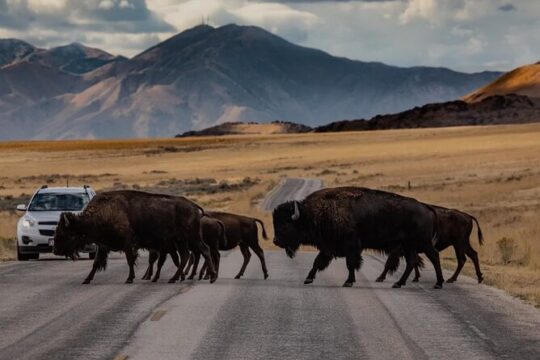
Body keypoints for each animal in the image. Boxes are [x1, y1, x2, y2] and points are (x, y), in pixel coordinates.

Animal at [52, 190, 217, 286]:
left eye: (64, 232)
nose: (55, 250)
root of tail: (194, 206)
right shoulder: (103, 246)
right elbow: (96, 263)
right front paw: (86, 279)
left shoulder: (127, 244)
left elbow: (130, 260)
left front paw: (129, 278)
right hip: (180, 241)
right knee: (185, 256)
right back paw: (174, 278)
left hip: (191, 237)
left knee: (204, 250)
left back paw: (212, 277)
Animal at [272, 187, 446, 288]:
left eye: (286, 225)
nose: (275, 241)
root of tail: (426, 207)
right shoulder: (328, 247)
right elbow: (317, 263)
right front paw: (308, 279)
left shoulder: (351, 246)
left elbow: (351, 264)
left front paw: (348, 282)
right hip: (409, 245)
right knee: (411, 262)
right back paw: (398, 283)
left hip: (422, 243)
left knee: (433, 256)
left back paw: (438, 283)